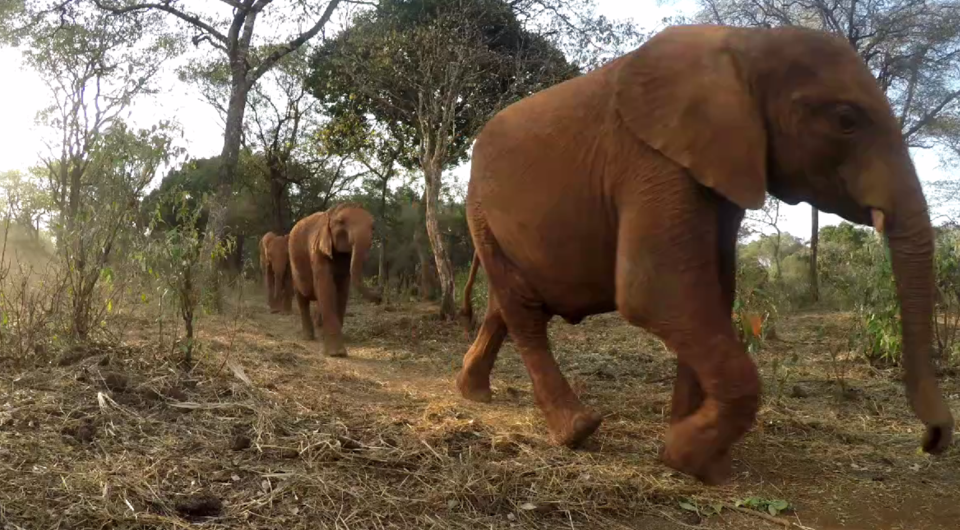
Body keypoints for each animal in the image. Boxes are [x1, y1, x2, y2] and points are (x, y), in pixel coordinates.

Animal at [288, 203, 382, 357]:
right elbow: (326, 287)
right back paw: (308, 337)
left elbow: (342, 290)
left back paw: (320, 332)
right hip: (293, 261)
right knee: (302, 296)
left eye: (373, 227)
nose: (380, 297)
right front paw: (337, 353)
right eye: (341, 222)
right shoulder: (318, 251)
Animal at [456, 24, 954, 485]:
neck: (748, 46)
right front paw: (683, 455)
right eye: (846, 120)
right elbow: (656, 292)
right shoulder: (651, 159)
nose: (932, 441)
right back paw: (576, 431)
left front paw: (699, 454)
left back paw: (474, 393)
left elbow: (711, 292)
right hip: (479, 208)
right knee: (523, 311)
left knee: (505, 305)